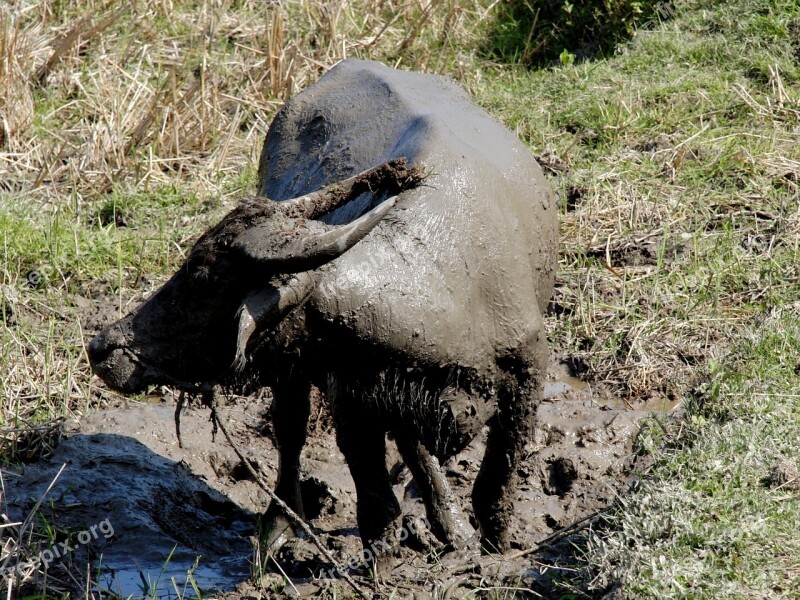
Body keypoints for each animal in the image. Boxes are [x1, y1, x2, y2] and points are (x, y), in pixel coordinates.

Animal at [89, 59, 556, 568]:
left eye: (200, 277)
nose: (101, 347)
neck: (449, 294)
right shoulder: (350, 395)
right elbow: (375, 496)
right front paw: (383, 562)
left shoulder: (527, 375)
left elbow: (495, 485)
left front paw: (494, 546)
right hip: (292, 371)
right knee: (291, 431)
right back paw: (278, 528)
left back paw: (450, 527)